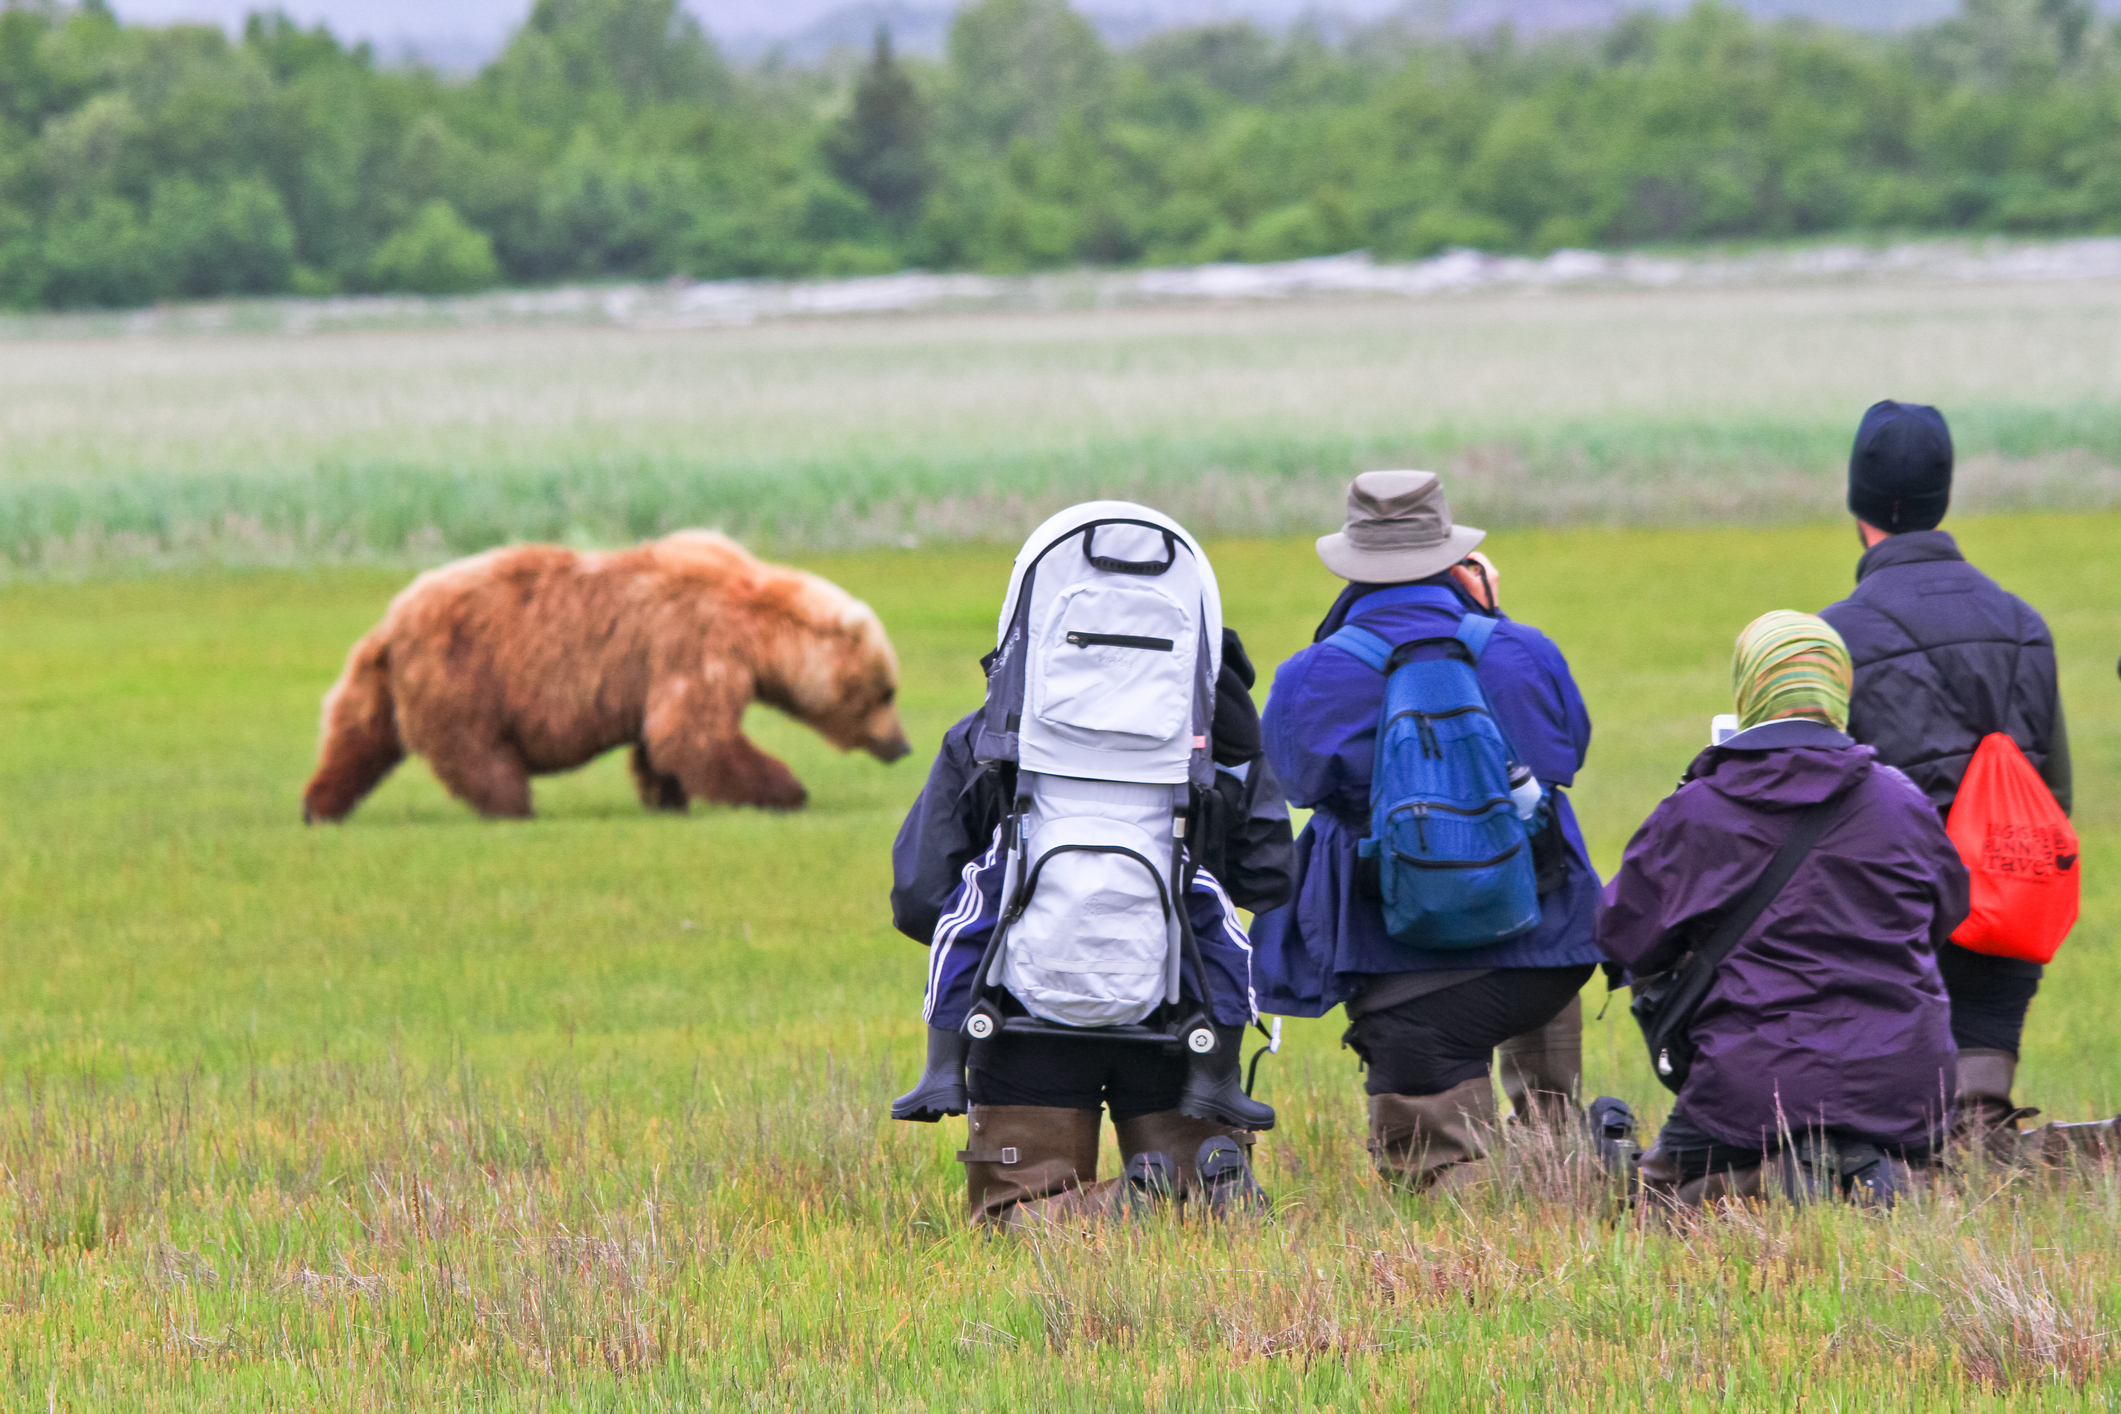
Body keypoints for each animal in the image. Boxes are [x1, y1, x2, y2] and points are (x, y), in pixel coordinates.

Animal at [302, 530, 910, 822]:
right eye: (886, 692)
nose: (901, 745)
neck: (760, 631)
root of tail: (390, 626)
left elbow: (660, 743)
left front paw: (668, 797)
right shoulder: (696, 641)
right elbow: (696, 733)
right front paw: (787, 790)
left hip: (382, 681)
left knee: (358, 737)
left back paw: (319, 807)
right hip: (462, 676)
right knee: (479, 754)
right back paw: (514, 808)